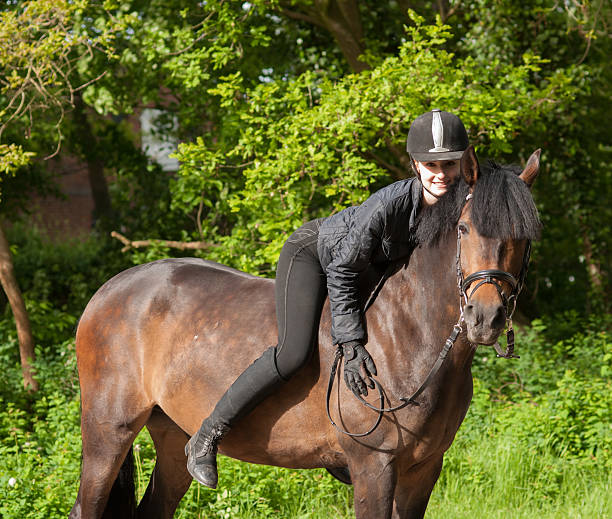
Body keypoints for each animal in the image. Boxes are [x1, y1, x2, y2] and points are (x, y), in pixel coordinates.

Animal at [69, 146, 544, 519]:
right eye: (464, 229)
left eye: (524, 238)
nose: (485, 318)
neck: (411, 334)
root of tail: (110, 289)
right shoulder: (375, 466)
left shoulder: (424, 469)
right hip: (108, 431)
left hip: (170, 437)